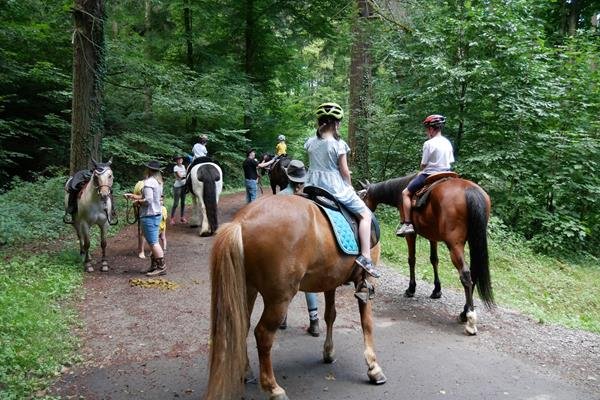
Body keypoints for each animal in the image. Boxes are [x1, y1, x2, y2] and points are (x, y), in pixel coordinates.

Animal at [205, 195, 384, 398]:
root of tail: (241, 222)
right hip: (279, 299)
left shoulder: (330, 281)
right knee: (263, 334)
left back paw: (246, 371)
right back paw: (274, 388)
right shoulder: (364, 280)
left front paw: (329, 352)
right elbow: (367, 322)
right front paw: (373, 367)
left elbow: (330, 315)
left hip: (247, 289)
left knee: (243, 325)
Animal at [358, 173, 494, 334]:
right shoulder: (432, 236)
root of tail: (470, 191)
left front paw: (411, 289)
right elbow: (434, 260)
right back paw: (464, 312)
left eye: (362, 197)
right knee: (473, 273)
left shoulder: (411, 234)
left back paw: (469, 319)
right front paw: (437, 291)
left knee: (465, 275)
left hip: (454, 245)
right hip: (473, 240)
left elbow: (412, 259)